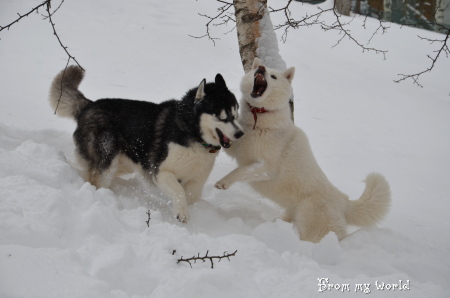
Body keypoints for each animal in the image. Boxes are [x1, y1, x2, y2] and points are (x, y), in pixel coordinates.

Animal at [215, 57, 390, 242]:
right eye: (256, 71)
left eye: (273, 76)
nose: (261, 68)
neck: (258, 123)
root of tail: (343, 201)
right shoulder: (236, 149)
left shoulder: (267, 168)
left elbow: (241, 171)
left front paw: (223, 182)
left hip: (311, 228)